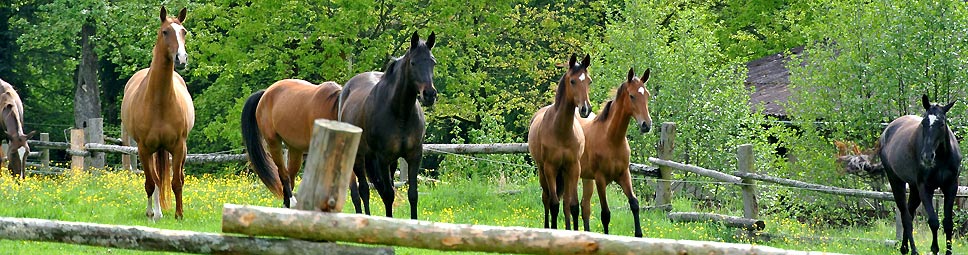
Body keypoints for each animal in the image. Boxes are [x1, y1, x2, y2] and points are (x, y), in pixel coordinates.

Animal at [120, 6, 194, 221]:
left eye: (184, 31)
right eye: (165, 32)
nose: (181, 58)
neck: (159, 102)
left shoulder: (179, 147)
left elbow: (177, 182)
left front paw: (179, 214)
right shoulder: (144, 149)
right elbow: (150, 183)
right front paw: (151, 214)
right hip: (152, 151)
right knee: (156, 180)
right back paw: (156, 212)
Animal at [240, 78, 342, 208]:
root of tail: (265, 93)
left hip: (295, 149)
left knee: (290, 174)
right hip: (274, 144)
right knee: (283, 173)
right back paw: (291, 202)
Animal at [528, 53, 588, 231]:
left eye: (589, 81)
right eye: (573, 81)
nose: (585, 109)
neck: (561, 131)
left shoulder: (574, 168)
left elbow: (573, 205)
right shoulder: (550, 168)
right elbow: (554, 204)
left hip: (564, 173)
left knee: (566, 202)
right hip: (543, 171)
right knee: (546, 198)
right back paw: (547, 227)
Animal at [580, 67, 656, 237]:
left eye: (647, 95)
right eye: (632, 96)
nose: (646, 125)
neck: (611, 139)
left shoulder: (624, 174)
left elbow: (634, 203)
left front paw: (639, 235)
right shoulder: (600, 179)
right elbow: (605, 214)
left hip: (586, 178)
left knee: (584, 206)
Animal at [876, 94, 960, 255]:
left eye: (941, 124)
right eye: (923, 123)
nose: (927, 156)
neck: (942, 158)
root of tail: (887, 131)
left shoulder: (951, 187)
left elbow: (948, 223)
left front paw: (948, 251)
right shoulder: (925, 188)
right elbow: (933, 221)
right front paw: (934, 249)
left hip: (913, 188)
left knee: (909, 212)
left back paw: (904, 248)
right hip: (897, 182)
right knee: (906, 217)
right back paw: (913, 250)